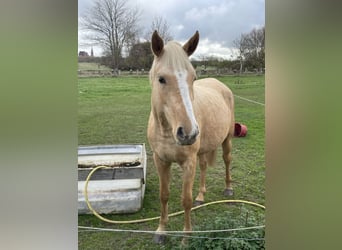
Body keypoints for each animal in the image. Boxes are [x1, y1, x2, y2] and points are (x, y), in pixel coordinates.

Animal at [147, 30, 235, 243]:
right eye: (161, 79)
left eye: (193, 78)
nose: (188, 133)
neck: (167, 131)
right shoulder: (160, 160)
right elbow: (164, 195)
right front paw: (161, 231)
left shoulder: (188, 162)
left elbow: (185, 200)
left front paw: (186, 237)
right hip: (202, 150)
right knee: (203, 167)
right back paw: (201, 197)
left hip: (227, 139)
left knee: (227, 160)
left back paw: (228, 189)